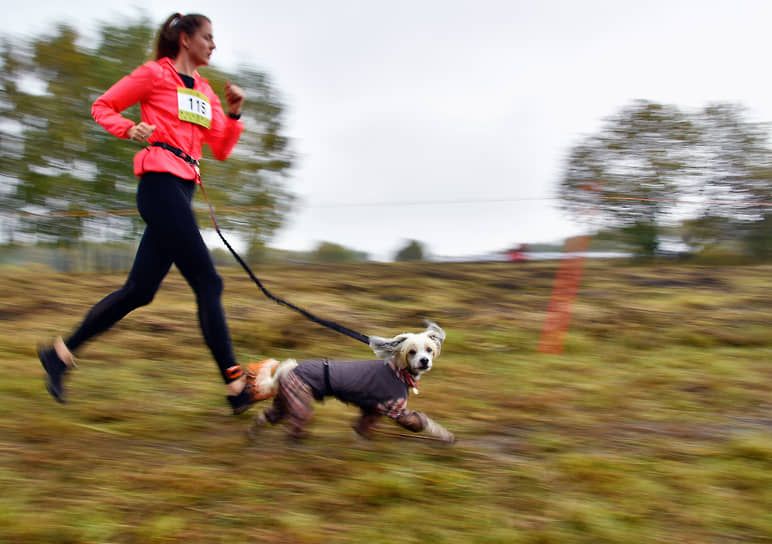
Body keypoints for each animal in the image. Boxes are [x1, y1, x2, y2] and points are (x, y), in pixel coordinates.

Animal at [247, 320, 456, 444]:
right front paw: (445, 435)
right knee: (296, 424)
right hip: (299, 401)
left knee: (267, 415)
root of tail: (289, 369)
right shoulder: (395, 409)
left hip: (285, 400)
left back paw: (254, 432)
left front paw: (360, 441)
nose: (424, 361)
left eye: (429, 349)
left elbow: (362, 426)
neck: (397, 372)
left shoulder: (372, 409)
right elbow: (423, 421)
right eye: (412, 351)